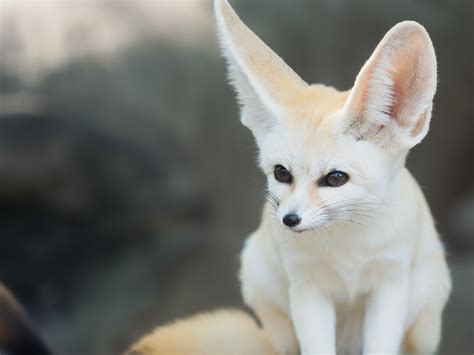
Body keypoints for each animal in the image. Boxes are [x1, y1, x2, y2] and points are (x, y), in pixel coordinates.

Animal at [215, 0, 452, 355]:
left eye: (336, 178)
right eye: (282, 173)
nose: (289, 219)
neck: (346, 247)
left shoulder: (390, 283)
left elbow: (381, 345)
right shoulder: (307, 287)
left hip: (425, 328)